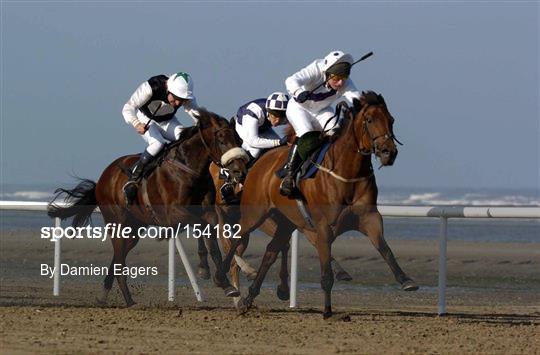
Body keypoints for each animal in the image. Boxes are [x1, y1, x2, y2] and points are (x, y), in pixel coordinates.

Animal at [46, 110, 249, 308]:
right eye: (221, 140)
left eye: (238, 140)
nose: (240, 171)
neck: (189, 169)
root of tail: (103, 179)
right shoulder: (174, 214)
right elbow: (200, 227)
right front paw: (205, 269)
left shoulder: (207, 211)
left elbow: (212, 241)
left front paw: (224, 283)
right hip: (116, 223)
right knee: (119, 260)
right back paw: (129, 301)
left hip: (135, 228)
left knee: (119, 255)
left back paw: (104, 295)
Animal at [221, 92, 420, 320]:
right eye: (369, 120)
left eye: (391, 120)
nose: (389, 152)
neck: (346, 174)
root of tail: (259, 163)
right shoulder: (323, 227)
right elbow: (326, 271)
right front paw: (327, 310)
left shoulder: (370, 217)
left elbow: (385, 249)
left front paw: (406, 280)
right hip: (256, 214)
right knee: (237, 238)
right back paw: (223, 278)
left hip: (286, 221)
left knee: (271, 251)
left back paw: (249, 297)